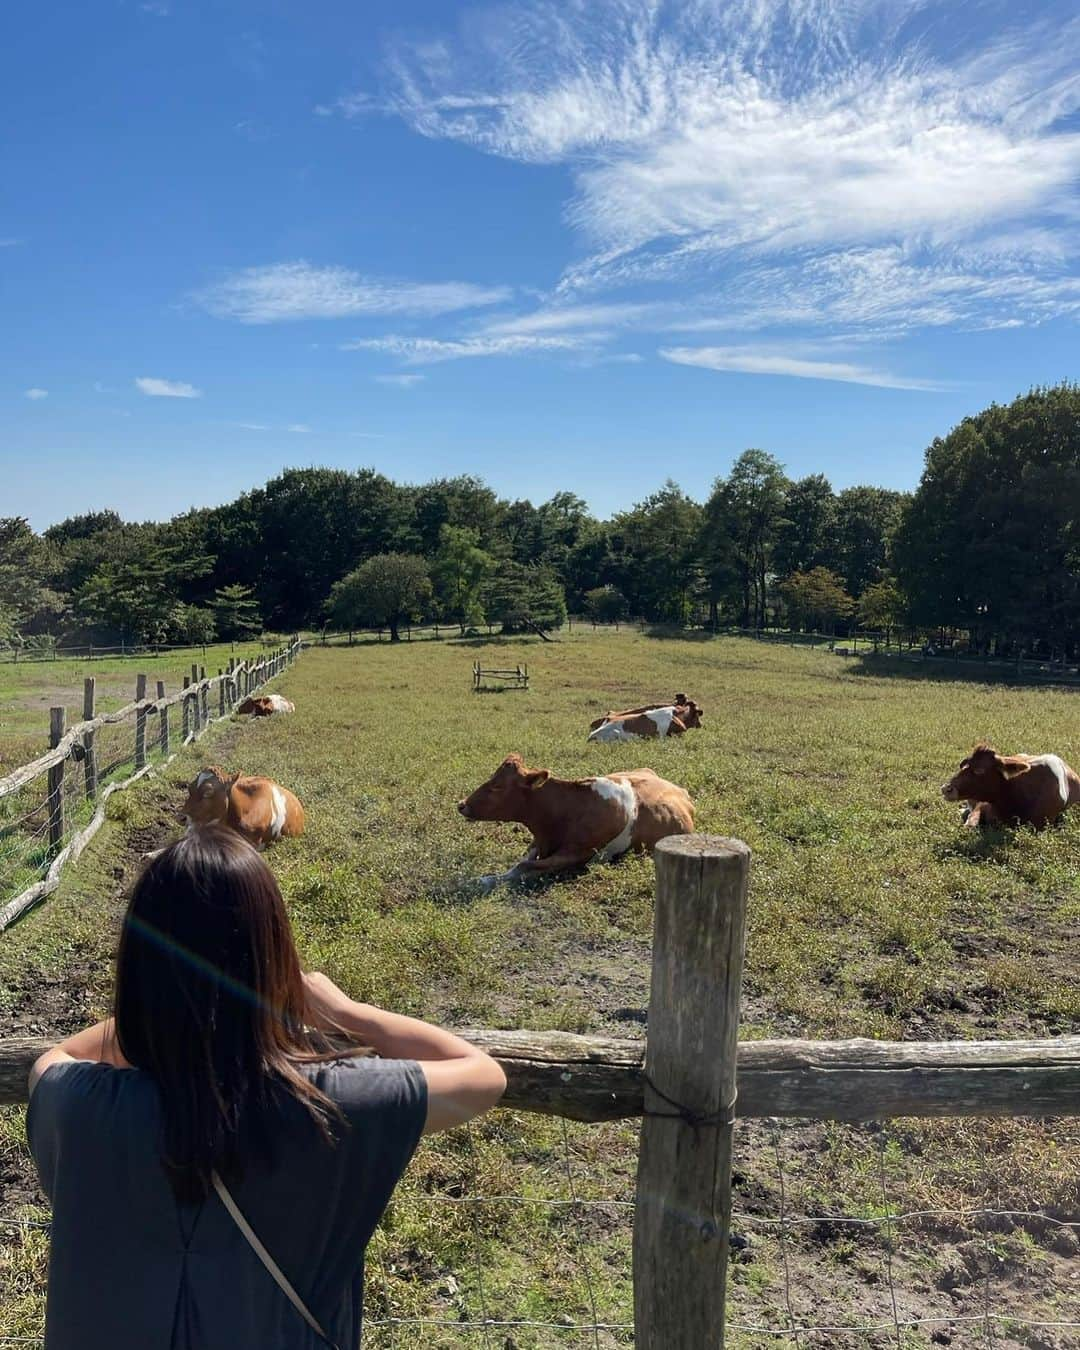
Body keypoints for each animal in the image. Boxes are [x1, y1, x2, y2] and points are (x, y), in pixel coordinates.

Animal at [456, 756, 691, 891]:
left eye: (498, 786)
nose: (462, 804)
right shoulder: (538, 842)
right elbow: (521, 862)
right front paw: (480, 880)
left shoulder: (578, 853)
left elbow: (525, 866)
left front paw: (481, 882)